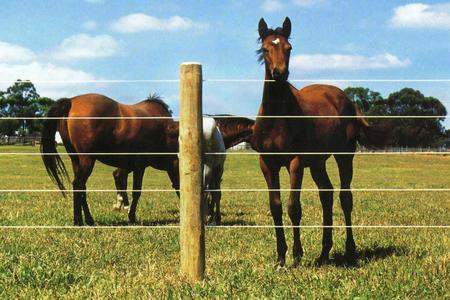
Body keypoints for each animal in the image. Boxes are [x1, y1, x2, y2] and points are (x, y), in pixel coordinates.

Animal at [40, 94, 178, 225]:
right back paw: (78, 220)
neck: (165, 132)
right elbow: (136, 191)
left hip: (76, 161)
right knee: (78, 185)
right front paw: (132, 216)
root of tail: (71, 101)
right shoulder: (139, 166)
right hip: (87, 160)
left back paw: (89, 219)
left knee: (82, 187)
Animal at [255, 17, 388, 266]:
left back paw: (349, 250)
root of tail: (348, 100)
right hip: (317, 163)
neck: (277, 117)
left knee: (345, 197)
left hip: (344, 156)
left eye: (289, 48)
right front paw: (280, 258)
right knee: (327, 194)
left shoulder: (295, 163)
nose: (280, 73)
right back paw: (324, 252)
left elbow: (293, 207)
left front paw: (297, 255)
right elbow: (276, 207)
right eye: (266, 48)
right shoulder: (267, 164)